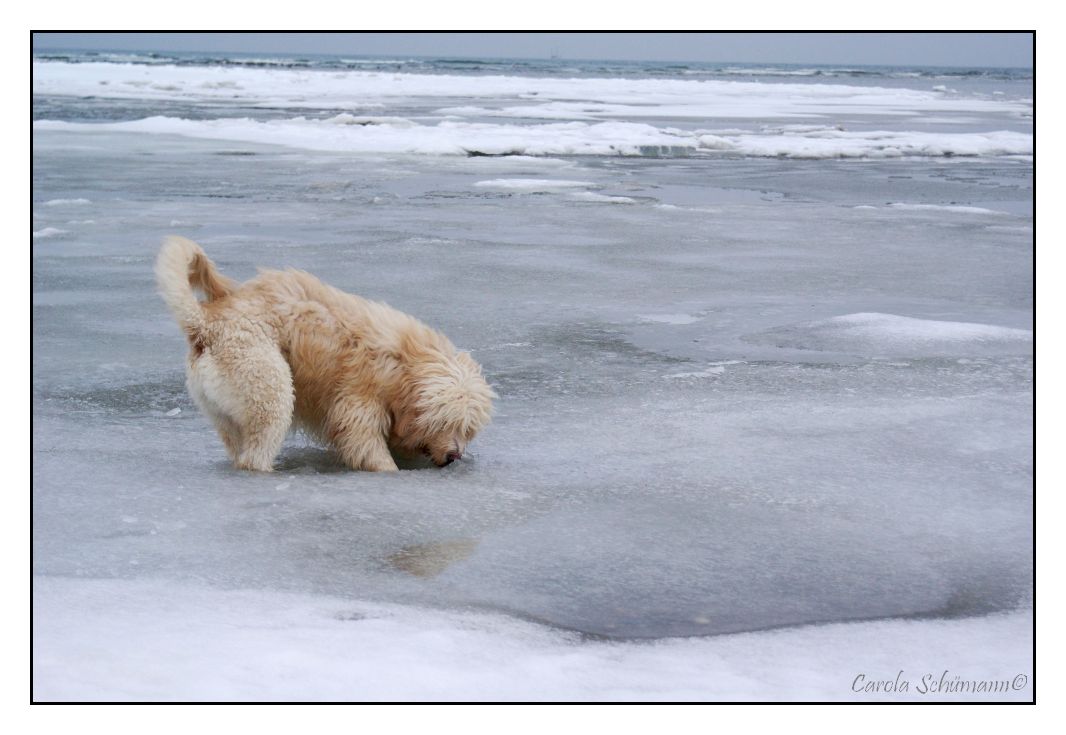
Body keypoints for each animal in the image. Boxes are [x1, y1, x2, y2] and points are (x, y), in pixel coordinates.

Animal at [155, 237, 494, 473]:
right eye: (442, 422)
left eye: (467, 427)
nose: (453, 455)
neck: (403, 363)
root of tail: (205, 324)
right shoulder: (359, 398)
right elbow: (363, 440)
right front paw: (388, 468)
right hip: (265, 381)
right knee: (259, 445)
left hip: (224, 407)